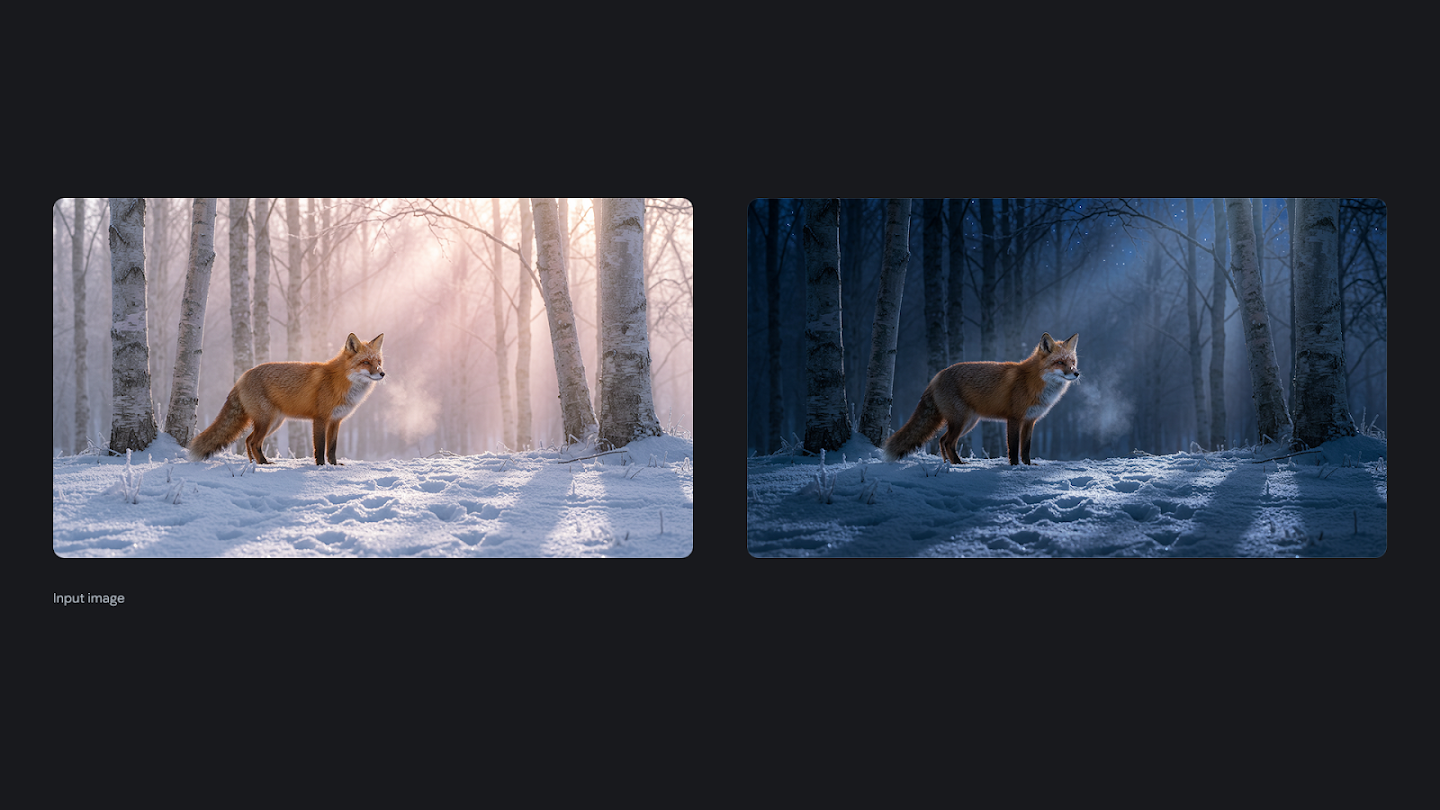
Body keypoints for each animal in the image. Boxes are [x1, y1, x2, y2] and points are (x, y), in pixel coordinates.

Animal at [187, 333, 386, 466]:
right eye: (365, 362)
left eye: (378, 362)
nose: (382, 374)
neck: (340, 381)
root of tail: (242, 377)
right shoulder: (320, 418)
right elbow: (320, 447)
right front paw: (321, 467)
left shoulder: (336, 420)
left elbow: (332, 448)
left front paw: (334, 466)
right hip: (267, 421)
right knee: (254, 442)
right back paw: (264, 464)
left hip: (273, 423)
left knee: (248, 440)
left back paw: (254, 464)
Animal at [883, 332, 1079, 466]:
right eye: (1060, 362)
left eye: (1072, 362)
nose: (1076, 373)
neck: (1034, 382)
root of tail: (937, 376)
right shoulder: (1014, 418)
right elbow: (1014, 447)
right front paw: (1015, 467)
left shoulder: (1030, 420)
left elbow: (1026, 448)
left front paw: (1028, 466)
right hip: (961, 421)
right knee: (947, 442)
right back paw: (958, 464)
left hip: (968, 422)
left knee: (942, 440)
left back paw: (949, 464)